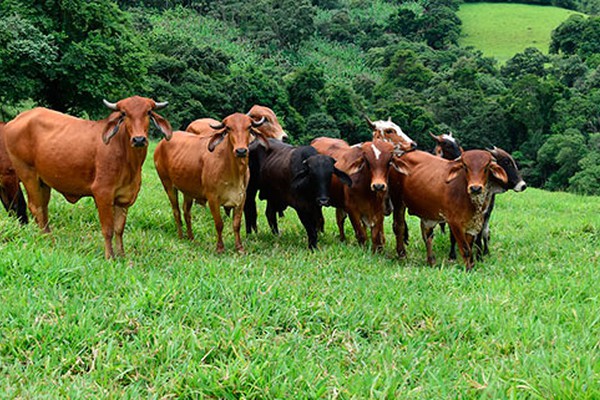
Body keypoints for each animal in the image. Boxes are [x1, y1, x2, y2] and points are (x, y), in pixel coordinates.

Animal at [4, 97, 172, 260]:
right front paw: (110, 257)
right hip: (28, 174)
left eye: (148, 112)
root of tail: (18, 118)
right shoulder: (102, 193)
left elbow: (119, 229)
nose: (139, 140)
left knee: (43, 209)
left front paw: (122, 256)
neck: (129, 160)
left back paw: (48, 238)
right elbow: (108, 229)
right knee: (36, 207)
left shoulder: (123, 198)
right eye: (124, 114)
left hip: (43, 182)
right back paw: (47, 240)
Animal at [155, 111, 268, 253]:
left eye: (249, 127)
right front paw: (220, 248)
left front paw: (239, 248)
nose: (241, 151)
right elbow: (219, 224)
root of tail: (161, 143)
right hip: (168, 185)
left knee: (186, 212)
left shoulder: (241, 197)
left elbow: (236, 224)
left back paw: (191, 238)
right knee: (176, 211)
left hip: (188, 191)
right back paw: (181, 237)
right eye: (228, 128)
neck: (234, 171)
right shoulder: (212, 198)